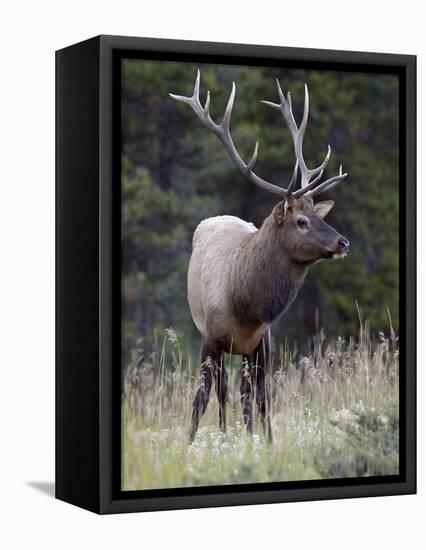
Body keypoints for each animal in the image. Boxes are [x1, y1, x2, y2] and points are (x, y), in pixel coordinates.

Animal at [170, 70, 350, 444]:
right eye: (301, 221)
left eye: (317, 214)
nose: (343, 242)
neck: (246, 307)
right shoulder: (210, 337)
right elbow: (201, 397)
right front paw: (189, 442)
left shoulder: (263, 342)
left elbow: (261, 398)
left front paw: (265, 443)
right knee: (222, 390)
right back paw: (223, 433)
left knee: (244, 393)